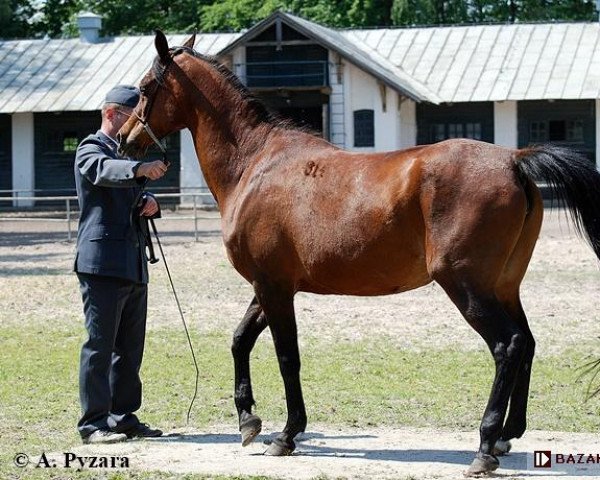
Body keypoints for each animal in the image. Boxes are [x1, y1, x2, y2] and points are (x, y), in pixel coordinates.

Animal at [118, 31, 600, 476]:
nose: (124, 140)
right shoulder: (268, 286)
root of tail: (514, 160)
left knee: (507, 345)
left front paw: (286, 435)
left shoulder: (274, 289)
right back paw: (506, 435)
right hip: (503, 286)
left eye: (145, 87)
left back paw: (484, 445)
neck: (255, 164)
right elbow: (240, 340)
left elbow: (287, 357)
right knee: (528, 342)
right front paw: (248, 421)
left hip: (467, 287)